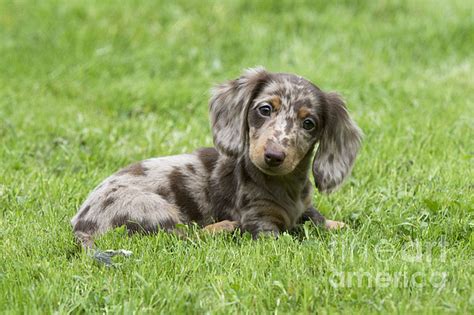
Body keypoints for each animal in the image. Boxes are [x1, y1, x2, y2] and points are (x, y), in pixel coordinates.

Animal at [70, 66, 362, 249]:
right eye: (265, 109)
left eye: (309, 123)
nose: (274, 156)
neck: (285, 187)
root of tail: (80, 224)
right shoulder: (260, 223)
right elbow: (287, 238)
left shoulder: (303, 207)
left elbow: (315, 217)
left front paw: (337, 224)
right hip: (151, 209)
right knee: (184, 238)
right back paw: (223, 228)